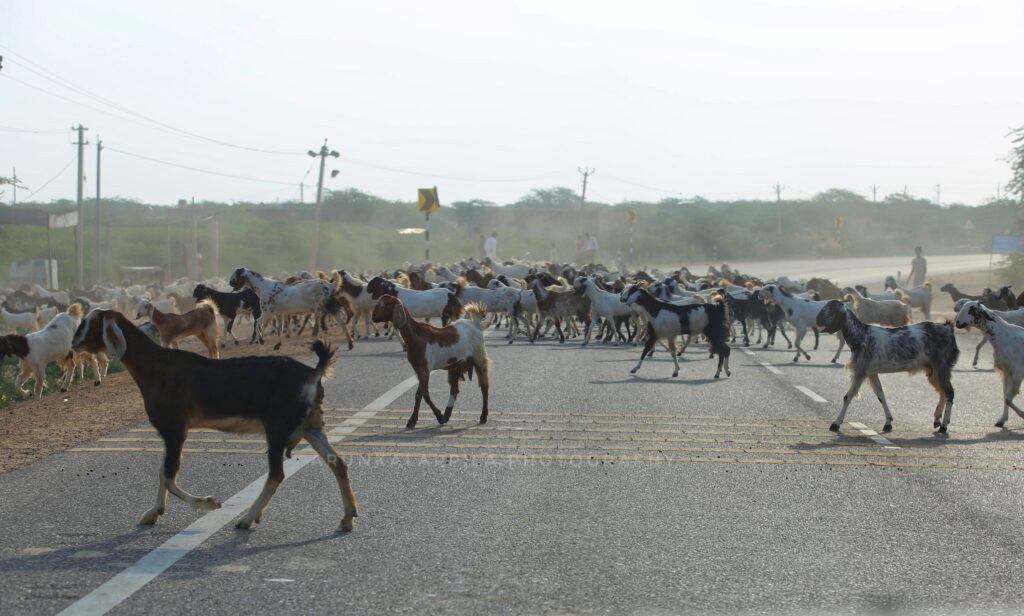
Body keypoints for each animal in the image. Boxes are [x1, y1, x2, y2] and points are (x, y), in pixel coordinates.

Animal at [70, 311, 356, 531]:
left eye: (88, 323)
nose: (73, 343)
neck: (157, 367)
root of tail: (313, 373)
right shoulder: (169, 432)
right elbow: (163, 473)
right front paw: (153, 513)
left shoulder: (175, 428)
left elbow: (168, 475)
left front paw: (209, 502)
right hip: (311, 426)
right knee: (337, 463)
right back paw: (347, 518)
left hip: (277, 428)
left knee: (277, 474)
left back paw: (247, 518)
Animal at [371, 295, 491, 428]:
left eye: (387, 304)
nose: (373, 316)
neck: (416, 336)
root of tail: (475, 324)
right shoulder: (418, 370)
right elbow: (425, 394)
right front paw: (439, 416)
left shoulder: (424, 369)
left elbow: (419, 394)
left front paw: (412, 420)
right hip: (454, 365)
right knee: (454, 389)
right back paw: (446, 415)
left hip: (479, 357)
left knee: (484, 387)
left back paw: (483, 416)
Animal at [816, 300, 958, 433]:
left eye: (829, 310)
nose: (817, 320)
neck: (861, 335)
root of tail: (948, 328)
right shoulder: (871, 372)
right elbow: (881, 395)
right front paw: (888, 423)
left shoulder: (861, 371)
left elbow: (848, 397)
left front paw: (836, 423)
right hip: (933, 371)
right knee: (943, 393)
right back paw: (937, 420)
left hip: (941, 366)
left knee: (949, 393)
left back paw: (943, 426)